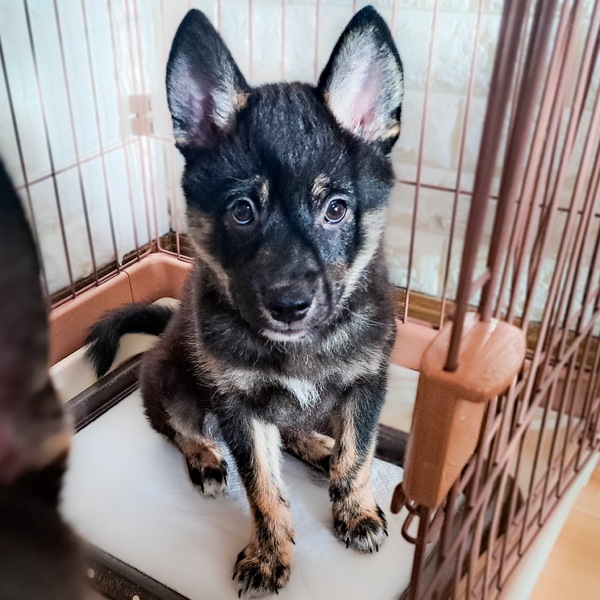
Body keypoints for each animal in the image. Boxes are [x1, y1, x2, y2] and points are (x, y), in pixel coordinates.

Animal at [86, 6, 404, 596]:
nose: (289, 305)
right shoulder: (238, 408)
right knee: (176, 428)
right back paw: (206, 459)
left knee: (299, 428)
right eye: (241, 212)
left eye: (335, 209)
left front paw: (355, 513)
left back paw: (316, 448)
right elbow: (260, 485)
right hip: (172, 385)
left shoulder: (367, 384)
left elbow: (358, 455)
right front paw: (268, 553)